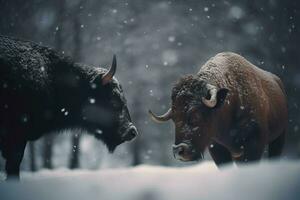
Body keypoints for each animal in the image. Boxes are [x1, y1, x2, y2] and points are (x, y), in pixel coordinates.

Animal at [149, 52, 288, 166]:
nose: (178, 151)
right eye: (174, 118)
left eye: (196, 115)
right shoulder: (217, 148)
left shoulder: (254, 144)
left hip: (279, 137)